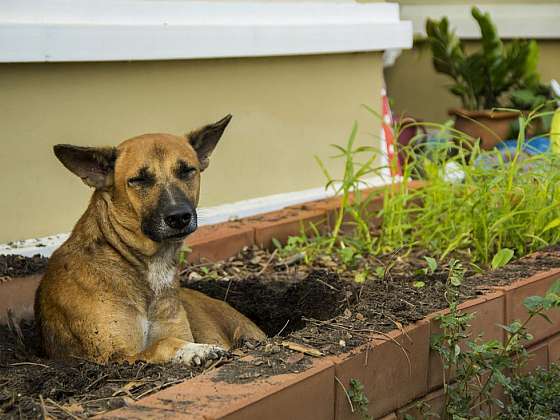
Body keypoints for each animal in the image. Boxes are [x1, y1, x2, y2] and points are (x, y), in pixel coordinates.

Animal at [35, 115, 266, 364]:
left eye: (187, 170)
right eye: (138, 180)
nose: (179, 217)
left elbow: (168, 337)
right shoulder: (115, 357)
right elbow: (161, 344)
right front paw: (194, 350)